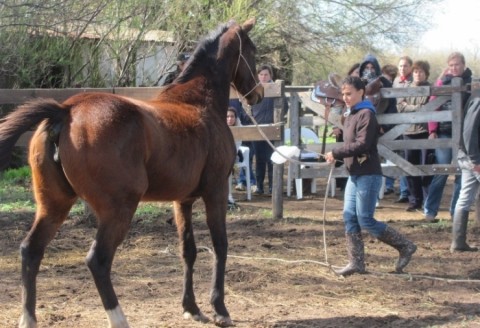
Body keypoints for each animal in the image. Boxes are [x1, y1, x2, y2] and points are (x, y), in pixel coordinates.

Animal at [0, 18, 262, 328]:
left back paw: (28, 318)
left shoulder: (182, 201)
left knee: (31, 251)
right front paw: (220, 309)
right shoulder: (216, 191)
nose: (257, 94)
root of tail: (66, 110)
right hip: (119, 209)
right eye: (253, 51)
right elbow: (220, 245)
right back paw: (118, 318)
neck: (199, 103)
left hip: (54, 205)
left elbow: (188, 251)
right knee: (97, 260)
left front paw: (192, 308)